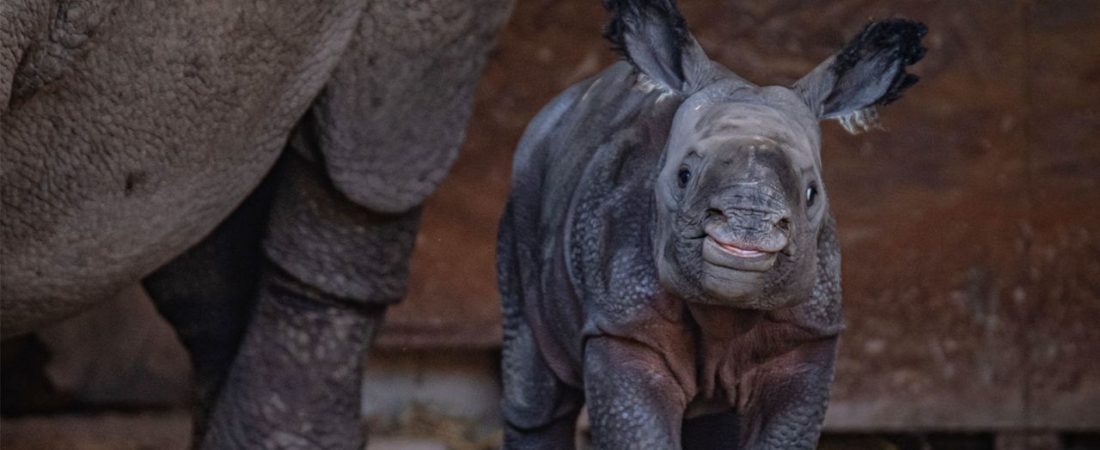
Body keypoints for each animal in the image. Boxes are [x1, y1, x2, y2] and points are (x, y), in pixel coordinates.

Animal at [499, 1, 928, 446]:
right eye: (683, 175)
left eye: (812, 193)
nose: (747, 227)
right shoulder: (622, 324)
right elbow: (640, 431)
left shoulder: (808, 334)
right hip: (525, 188)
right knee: (536, 393)